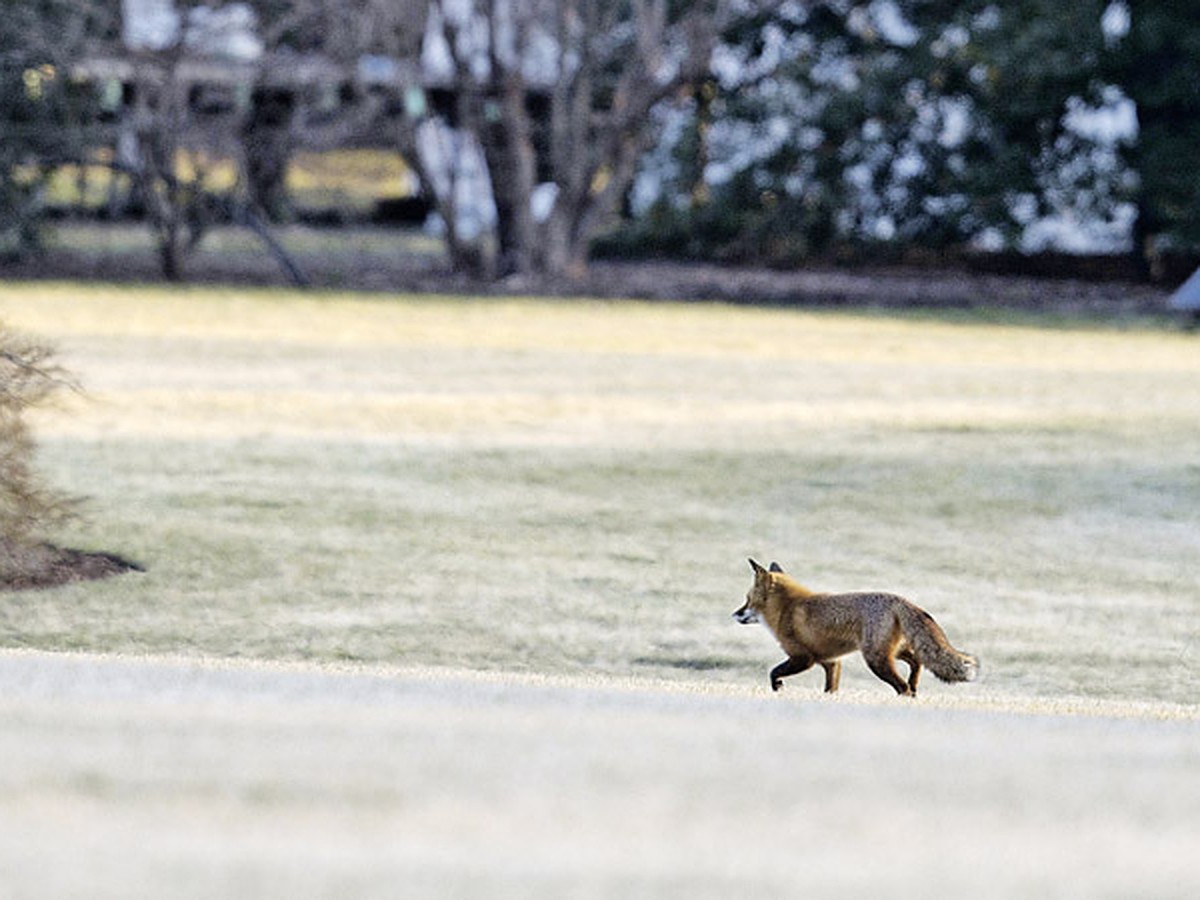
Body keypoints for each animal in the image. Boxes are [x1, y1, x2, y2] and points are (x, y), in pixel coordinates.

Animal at [729, 561, 974, 700]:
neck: (787, 608)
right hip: (893, 651)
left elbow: (773, 672)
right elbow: (831, 689)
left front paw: (778, 687)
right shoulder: (831, 662)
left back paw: (906, 695)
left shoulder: (803, 658)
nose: (734, 614)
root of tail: (900, 599)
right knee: (917, 662)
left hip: (876, 659)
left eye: (747, 600)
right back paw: (914, 688)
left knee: (902, 685)